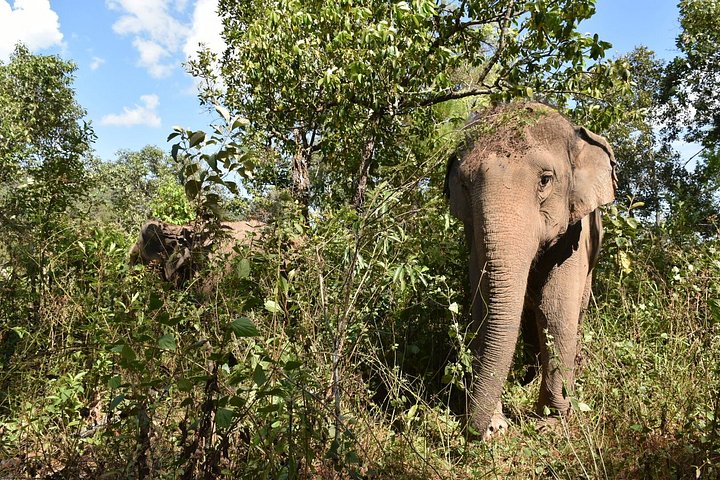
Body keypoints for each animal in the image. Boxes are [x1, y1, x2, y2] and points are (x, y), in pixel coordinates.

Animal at [445, 102, 616, 440]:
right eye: (465, 185)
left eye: (545, 180)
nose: (474, 430)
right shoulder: (474, 238)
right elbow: (484, 307)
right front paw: (495, 426)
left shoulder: (575, 235)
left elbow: (555, 310)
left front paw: (551, 425)